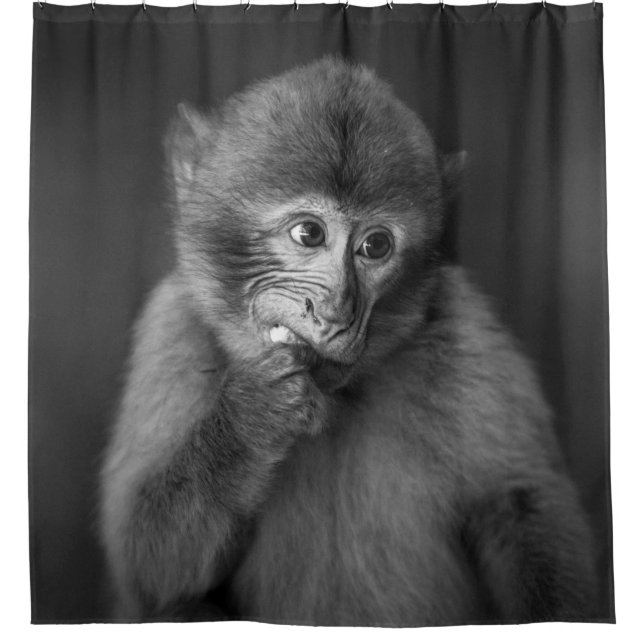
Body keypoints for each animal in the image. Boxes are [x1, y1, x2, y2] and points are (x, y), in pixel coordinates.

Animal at [99, 57, 597, 625]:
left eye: (375, 246)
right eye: (308, 234)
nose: (336, 311)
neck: (336, 397)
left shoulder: (463, 326)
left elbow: (520, 502)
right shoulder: (172, 329)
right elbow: (147, 571)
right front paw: (251, 418)